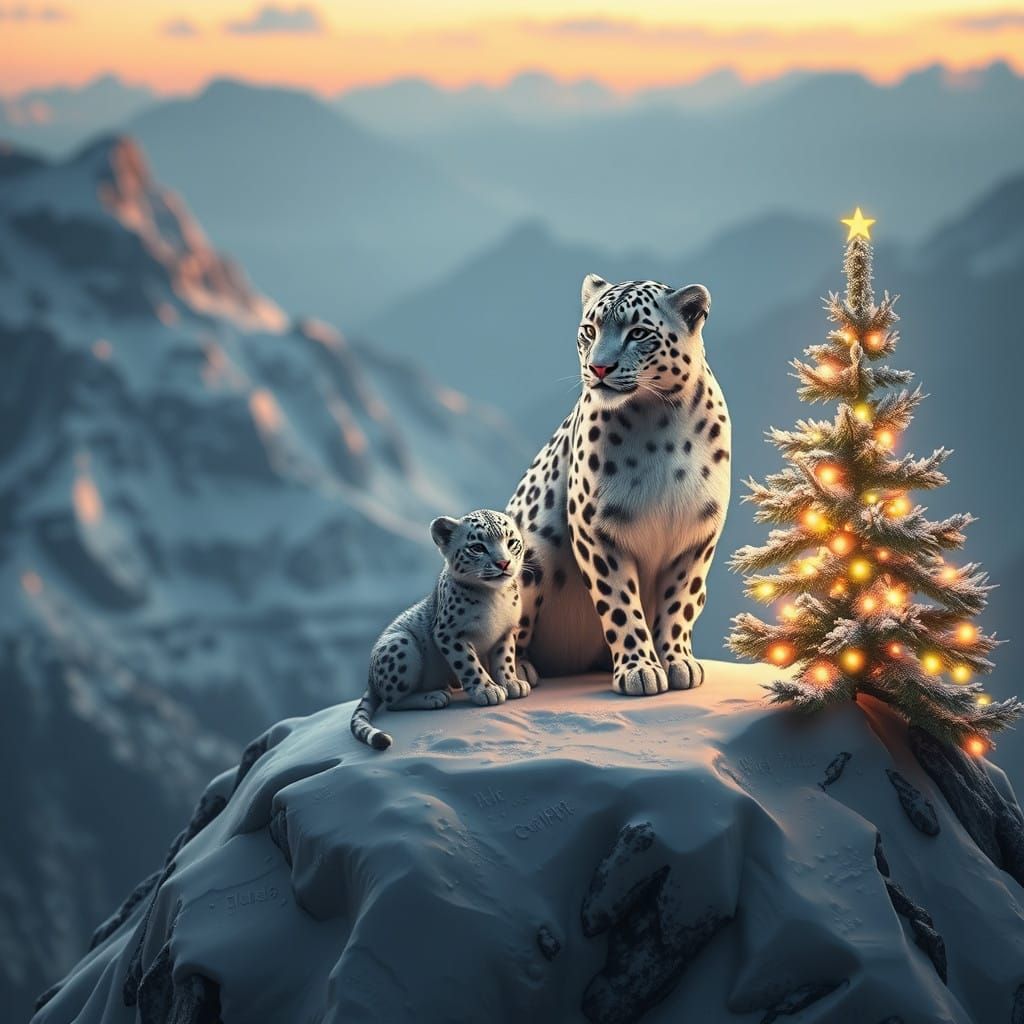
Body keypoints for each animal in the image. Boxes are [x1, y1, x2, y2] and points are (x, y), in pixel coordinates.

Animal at [350, 509, 529, 750]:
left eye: (512, 542)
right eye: (477, 547)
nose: (503, 562)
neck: (495, 596)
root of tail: (370, 678)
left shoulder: (506, 632)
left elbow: (505, 659)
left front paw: (511, 683)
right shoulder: (450, 633)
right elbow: (469, 664)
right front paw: (487, 690)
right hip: (400, 644)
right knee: (392, 701)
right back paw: (434, 697)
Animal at [507, 274, 731, 697]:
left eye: (638, 332)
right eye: (590, 331)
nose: (598, 367)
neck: (660, 423)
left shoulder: (697, 532)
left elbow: (679, 601)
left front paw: (677, 662)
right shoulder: (597, 529)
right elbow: (621, 604)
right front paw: (640, 670)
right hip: (531, 558)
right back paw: (517, 673)